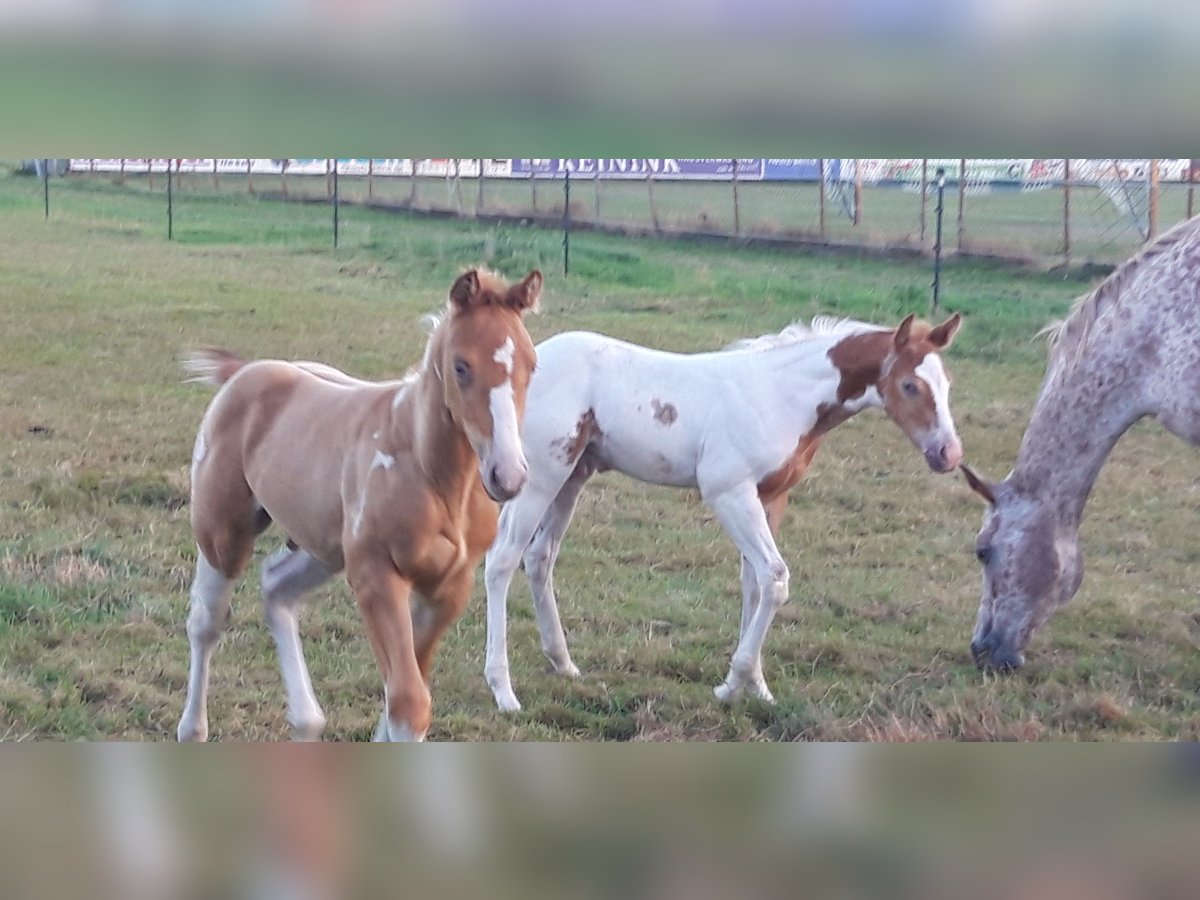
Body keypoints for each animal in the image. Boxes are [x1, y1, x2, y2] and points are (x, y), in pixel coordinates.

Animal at [176, 268, 540, 741]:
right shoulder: (376, 576)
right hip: (223, 533)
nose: (507, 474)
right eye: (461, 366)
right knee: (206, 621)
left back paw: (306, 721)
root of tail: (248, 370)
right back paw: (193, 729)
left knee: (276, 587)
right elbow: (408, 702)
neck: (435, 479)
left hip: (323, 548)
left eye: (532, 366)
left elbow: (403, 693)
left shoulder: (448, 588)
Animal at [483, 311, 964, 711]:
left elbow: (754, 584)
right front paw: (734, 685)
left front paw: (755, 687)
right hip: (541, 478)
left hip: (572, 476)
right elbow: (775, 578)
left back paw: (563, 663)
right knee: (502, 561)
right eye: (910, 385)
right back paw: (504, 692)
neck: (781, 396)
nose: (950, 453)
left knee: (539, 558)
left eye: (947, 384)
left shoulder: (770, 497)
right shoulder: (729, 492)